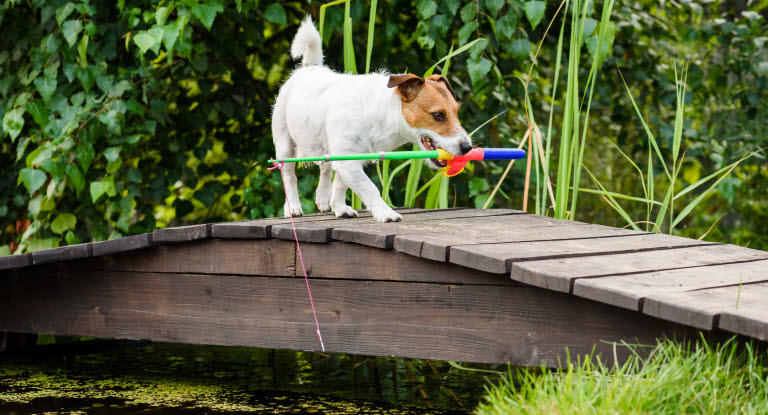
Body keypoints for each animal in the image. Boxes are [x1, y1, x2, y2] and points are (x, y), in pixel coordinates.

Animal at [272, 16, 472, 224]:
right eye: (438, 115)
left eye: (456, 111)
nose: (468, 147)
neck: (380, 115)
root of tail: (310, 67)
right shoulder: (347, 160)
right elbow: (369, 188)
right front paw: (385, 213)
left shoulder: (350, 158)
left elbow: (341, 185)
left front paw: (340, 207)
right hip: (285, 145)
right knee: (289, 175)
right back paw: (293, 207)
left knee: (326, 168)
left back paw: (324, 198)